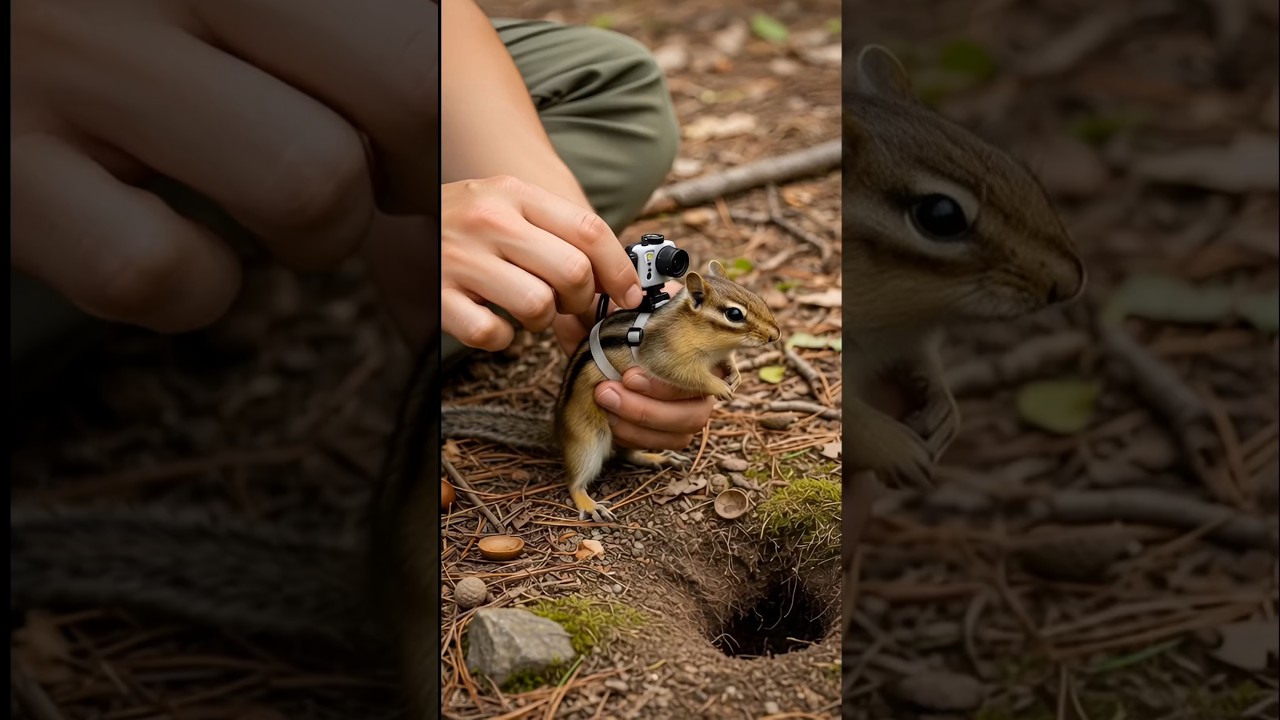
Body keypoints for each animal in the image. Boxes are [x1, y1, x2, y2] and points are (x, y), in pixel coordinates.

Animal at [442, 259, 781, 522]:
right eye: (734, 314)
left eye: (755, 297)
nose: (776, 334)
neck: (699, 334)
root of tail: (557, 430)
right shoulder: (664, 357)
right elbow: (686, 375)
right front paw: (719, 386)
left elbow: (728, 360)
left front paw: (735, 374)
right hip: (590, 438)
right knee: (574, 481)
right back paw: (589, 503)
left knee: (626, 453)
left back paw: (655, 457)